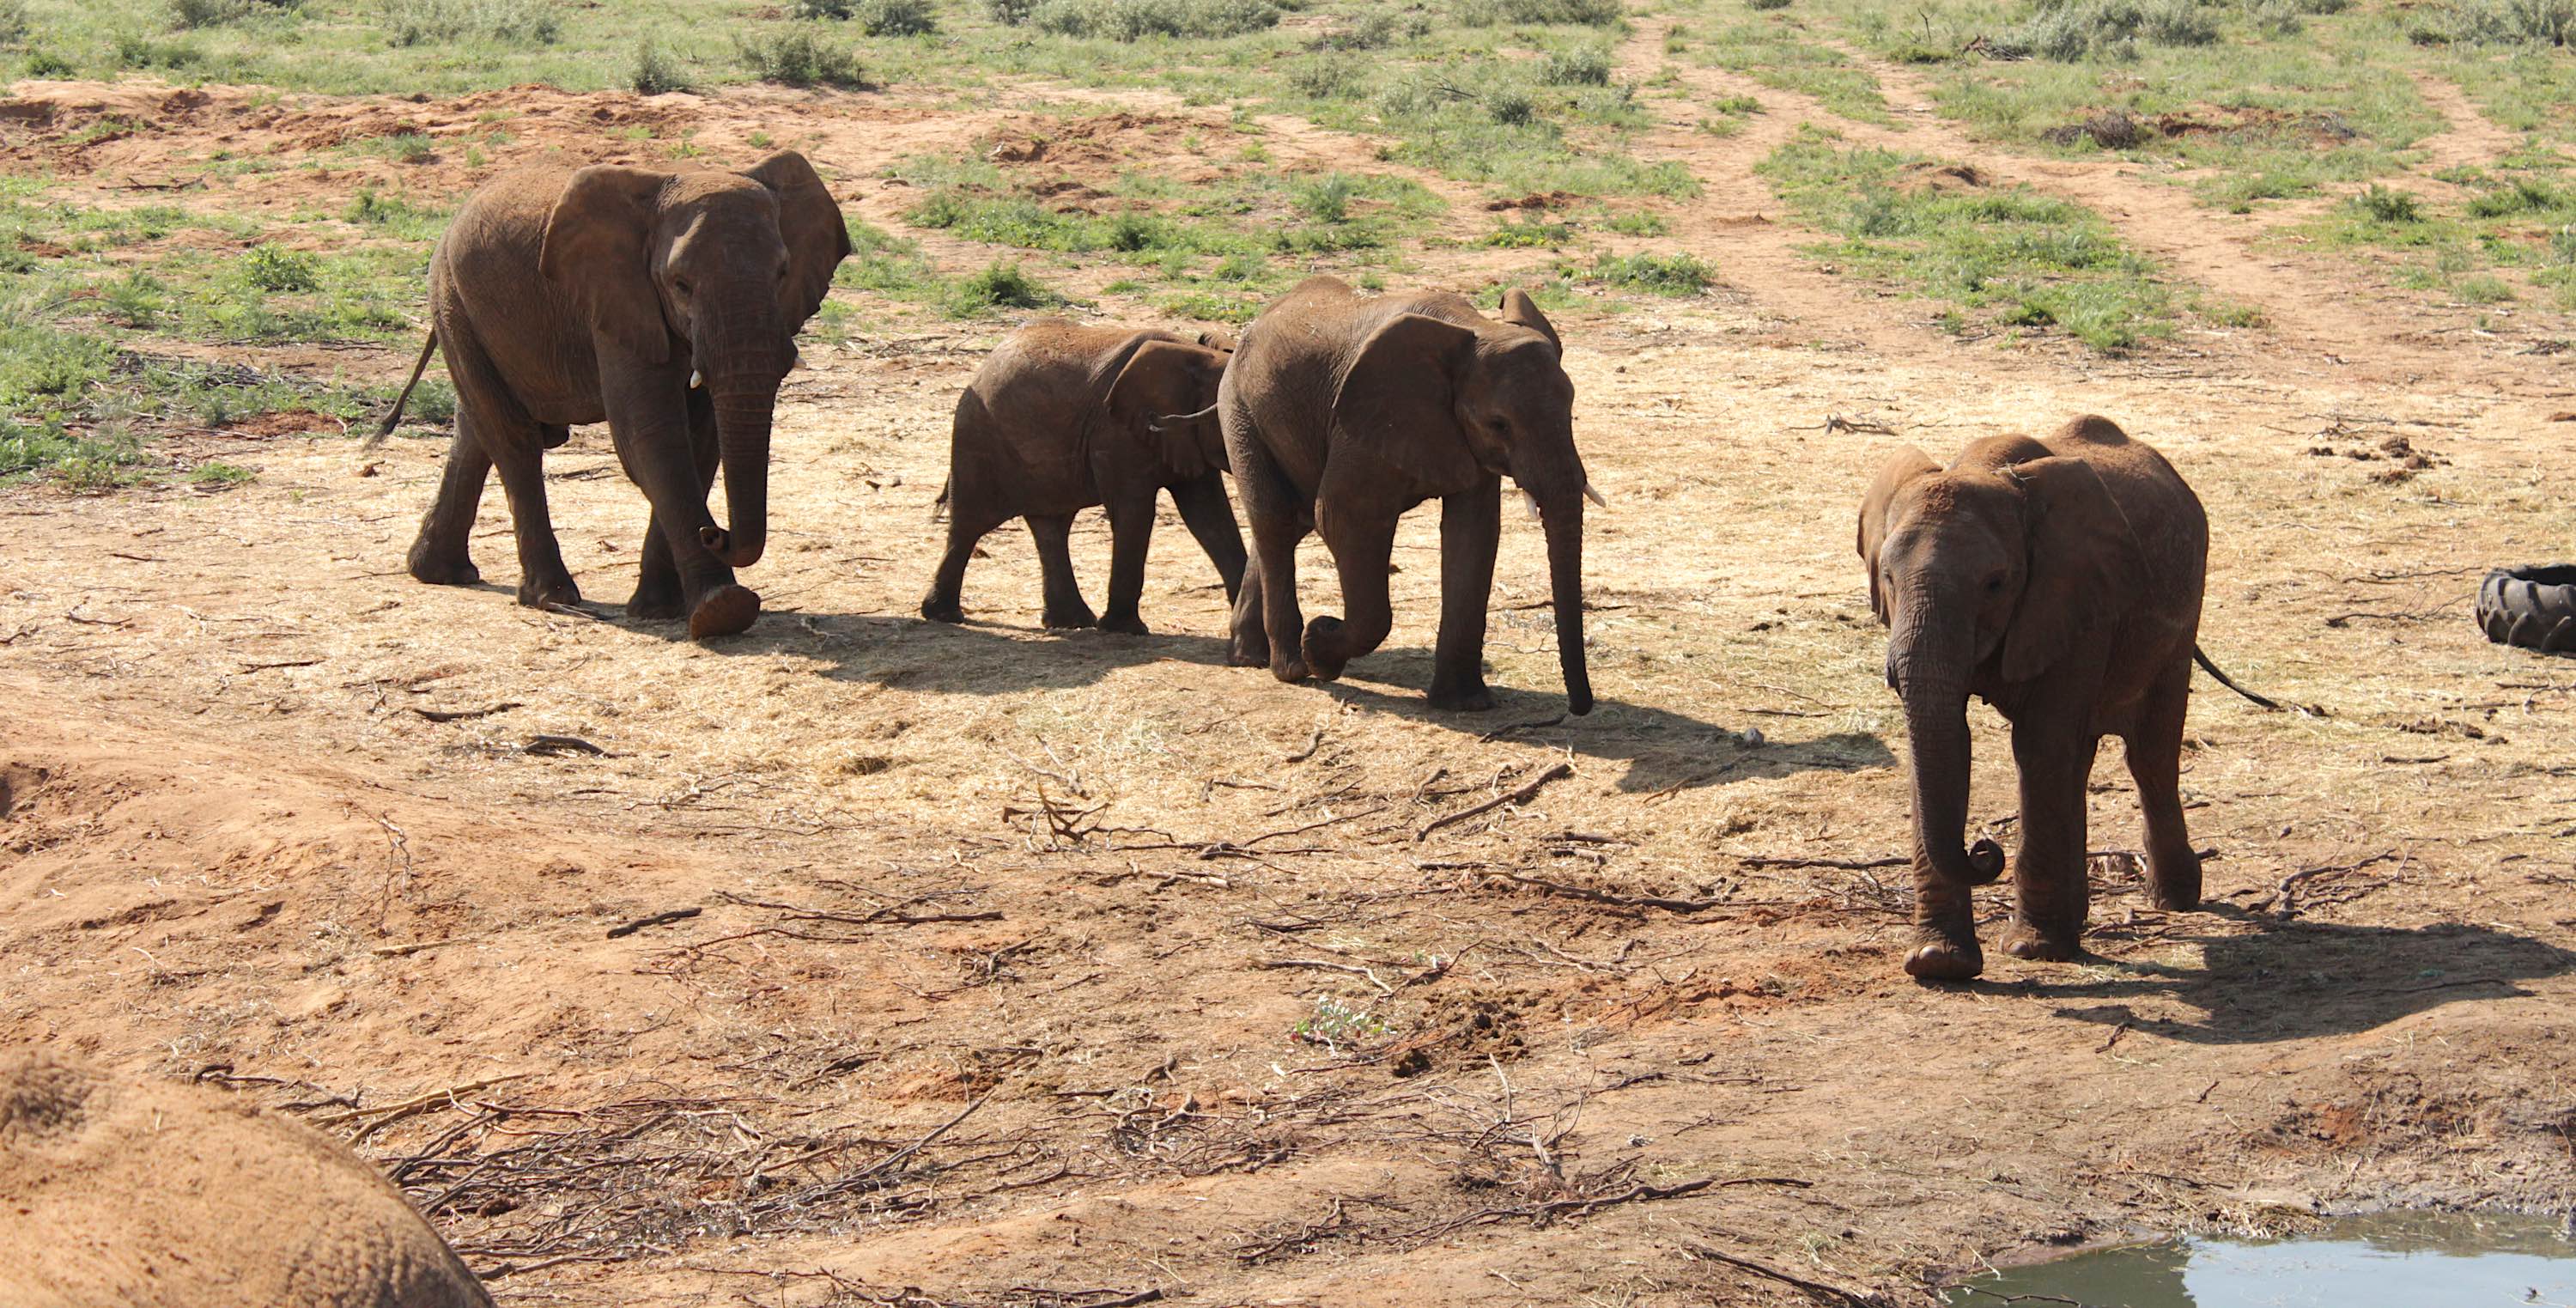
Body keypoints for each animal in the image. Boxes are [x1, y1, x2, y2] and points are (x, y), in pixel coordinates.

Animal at [379, 152, 852, 639]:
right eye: (680, 284)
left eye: (782, 274)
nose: (716, 533)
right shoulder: (614, 300)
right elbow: (649, 434)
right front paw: (723, 610)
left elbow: (701, 439)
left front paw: (662, 609)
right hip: (453, 299)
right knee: (512, 440)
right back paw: (551, 598)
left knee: (476, 430)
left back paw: (440, 573)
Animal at [920, 320, 1241, 634]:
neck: (1195, 354)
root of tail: (982, 367)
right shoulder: (1115, 433)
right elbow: (1135, 511)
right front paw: (1125, 630)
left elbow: (1208, 514)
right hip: (978, 435)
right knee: (971, 523)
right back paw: (944, 615)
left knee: (1051, 526)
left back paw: (1071, 622)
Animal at [1220, 276, 1600, 714]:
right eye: (1499, 424)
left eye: (1571, 407)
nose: (1577, 707)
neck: (1474, 327)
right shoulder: (1364, 420)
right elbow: (1341, 517)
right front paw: (1319, 645)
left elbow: (1473, 534)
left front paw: (1465, 704)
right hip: (1240, 409)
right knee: (1275, 522)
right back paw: (1292, 668)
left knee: (1286, 522)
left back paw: (1250, 656)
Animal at [1858, 415, 2212, 981]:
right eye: (1887, 577)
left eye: (1996, 583)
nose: (1984, 850)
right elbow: (1944, 743)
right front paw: (1938, 964)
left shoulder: (2075, 595)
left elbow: (2039, 744)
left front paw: (2031, 949)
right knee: (2081, 760)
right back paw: (2079, 917)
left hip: (2181, 612)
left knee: (2149, 754)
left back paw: (2173, 900)